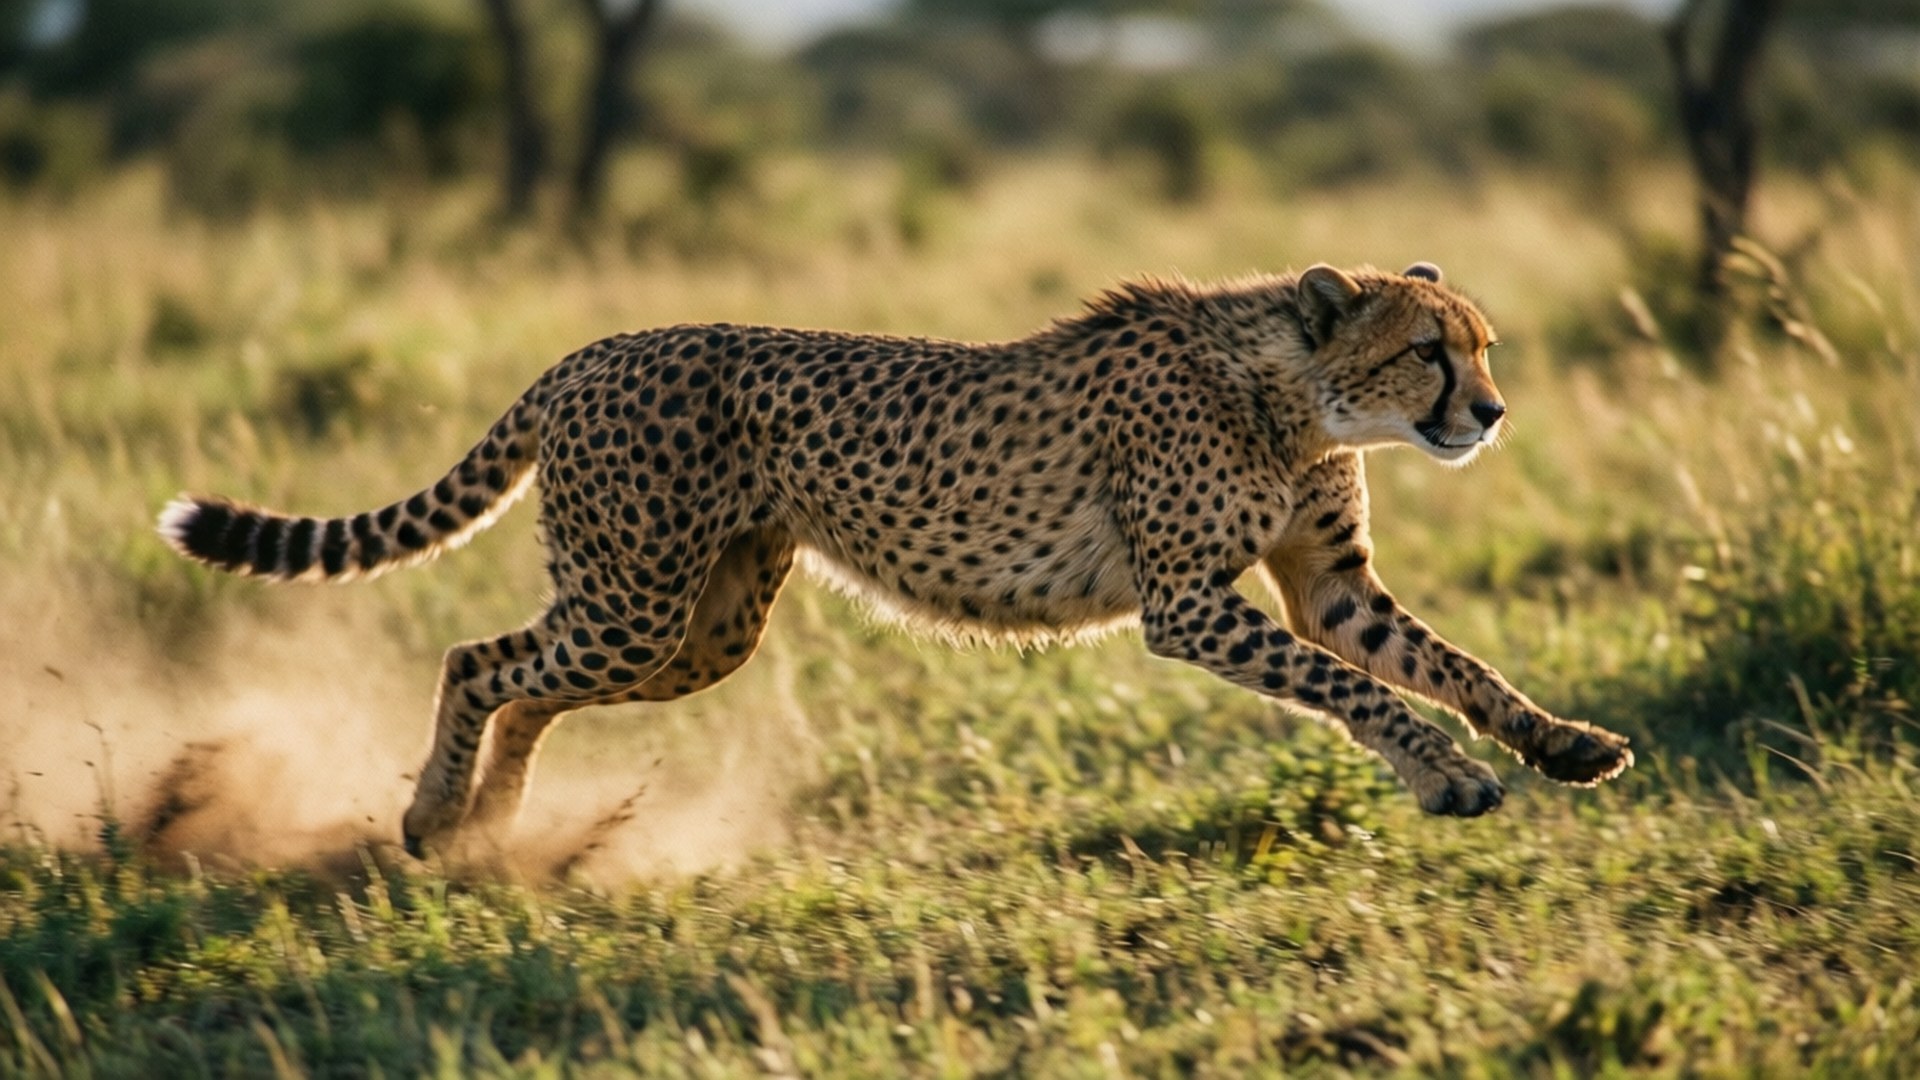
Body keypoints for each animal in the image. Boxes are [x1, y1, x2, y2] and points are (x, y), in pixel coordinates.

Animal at [157, 260, 1633, 858]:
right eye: (1429, 351)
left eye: (1482, 345)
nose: (1492, 413)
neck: (1292, 387)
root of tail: (589, 351)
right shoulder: (1187, 606)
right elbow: (1361, 689)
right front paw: (1447, 778)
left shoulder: (1327, 587)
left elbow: (1445, 663)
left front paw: (1558, 744)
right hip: (634, 602)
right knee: (479, 657)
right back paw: (429, 819)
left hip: (698, 630)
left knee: (525, 684)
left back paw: (492, 825)